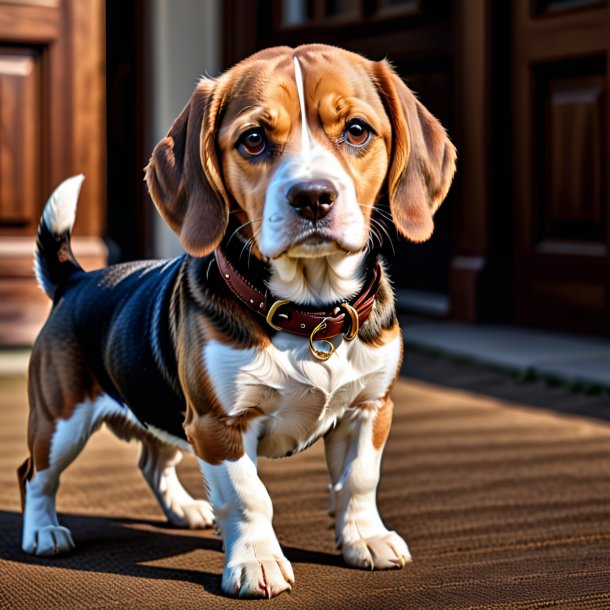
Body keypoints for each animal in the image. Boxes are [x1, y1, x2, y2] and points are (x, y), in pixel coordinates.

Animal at [17, 45, 456, 596]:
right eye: (253, 139)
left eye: (357, 131)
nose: (313, 196)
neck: (310, 313)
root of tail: (75, 279)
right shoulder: (217, 424)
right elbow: (249, 498)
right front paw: (257, 562)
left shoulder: (370, 408)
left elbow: (359, 481)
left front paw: (365, 539)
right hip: (61, 421)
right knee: (35, 474)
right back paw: (43, 531)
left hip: (161, 410)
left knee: (152, 460)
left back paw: (185, 509)